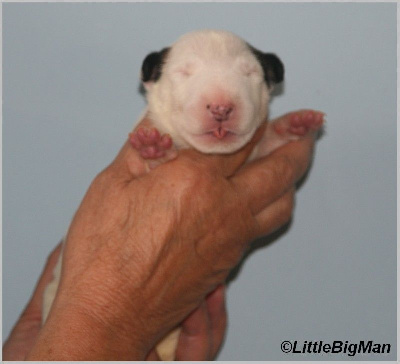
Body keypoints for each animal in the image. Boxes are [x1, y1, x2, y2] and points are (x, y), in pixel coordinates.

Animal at [42, 29, 324, 362]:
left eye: (249, 72)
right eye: (184, 72)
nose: (221, 107)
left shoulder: (252, 153)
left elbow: (266, 141)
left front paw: (296, 124)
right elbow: (154, 159)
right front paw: (154, 149)